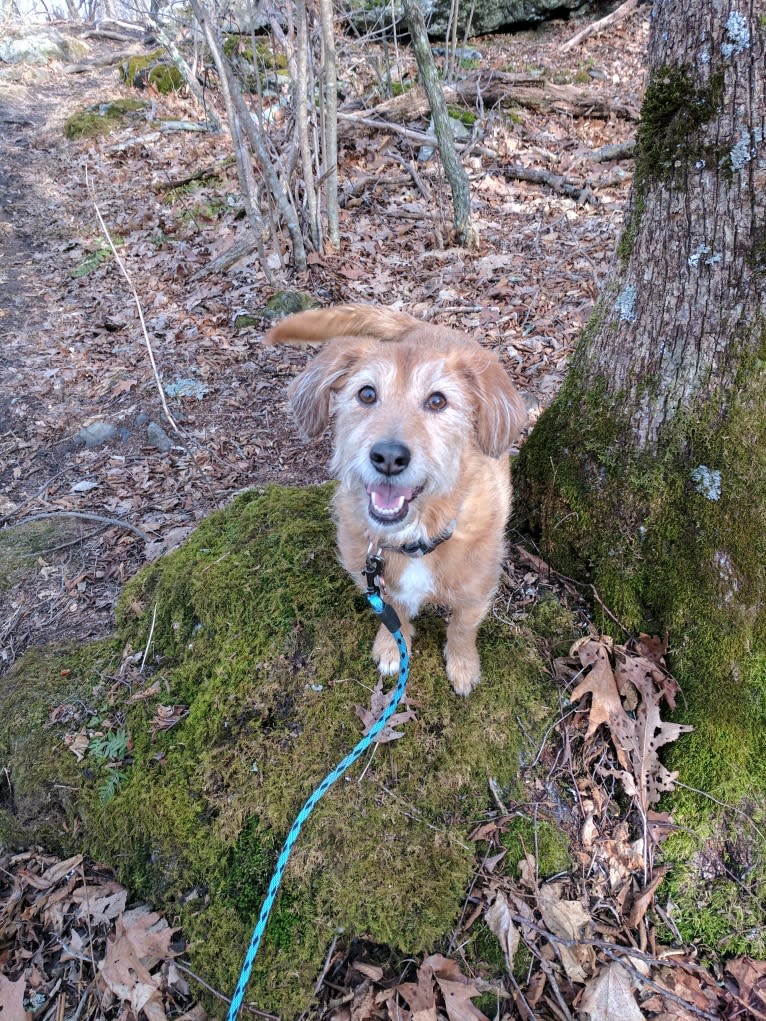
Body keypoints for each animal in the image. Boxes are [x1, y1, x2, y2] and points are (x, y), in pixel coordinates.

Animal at [265, 304, 527, 694]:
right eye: (367, 394)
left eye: (437, 400)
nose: (388, 457)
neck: (414, 536)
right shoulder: (373, 578)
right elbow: (394, 615)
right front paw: (392, 646)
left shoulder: (476, 591)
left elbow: (463, 628)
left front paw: (463, 665)